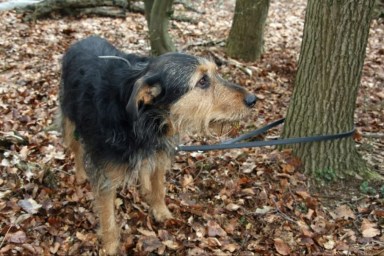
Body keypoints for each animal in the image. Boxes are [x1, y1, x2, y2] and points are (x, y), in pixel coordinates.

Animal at [58, 36, 256, 254]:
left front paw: (161, 211)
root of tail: (84, 39)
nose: (252, 99)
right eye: (202, 81)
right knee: (76, 148)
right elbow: (108, 217)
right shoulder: (106, 176)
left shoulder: (160, 151)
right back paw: (80, 174)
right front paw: (110, 246)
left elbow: (159, 186)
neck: (146, 119)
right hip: (69, 120)